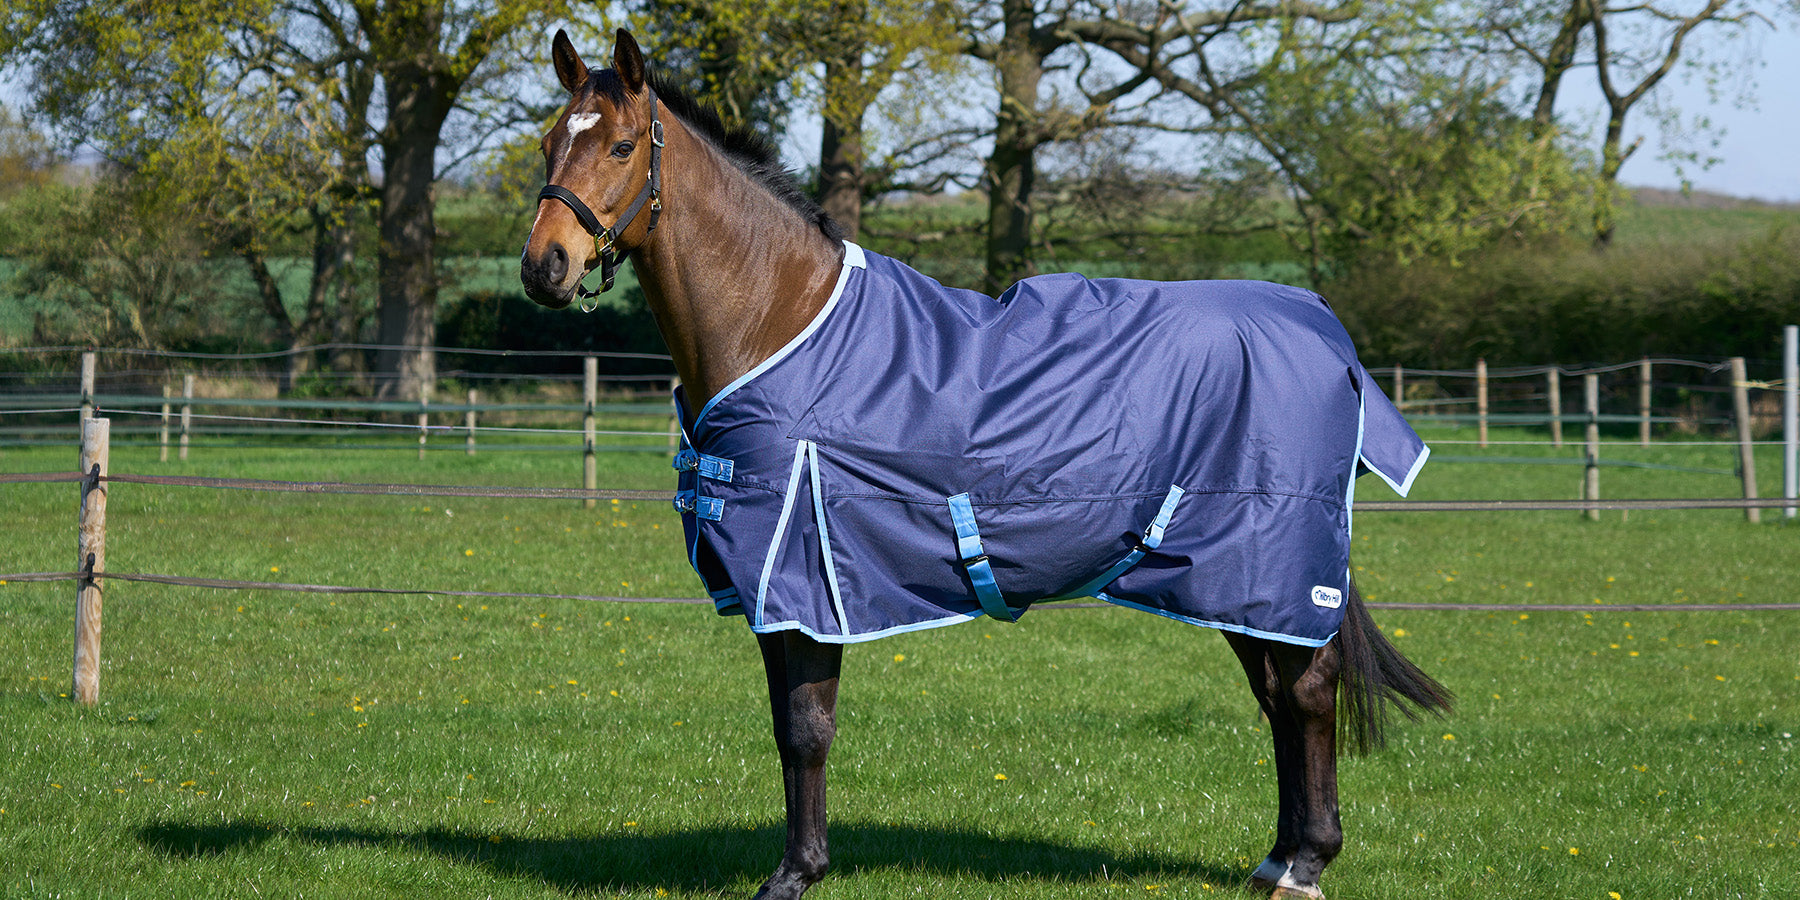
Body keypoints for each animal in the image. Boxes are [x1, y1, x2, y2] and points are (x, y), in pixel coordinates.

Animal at [519, 28, 1451, 900]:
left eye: (621, 146)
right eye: (547, 142)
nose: (543, 266)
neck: (779, 320)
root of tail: (1320, 323)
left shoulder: (803, 576)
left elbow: (806, 729)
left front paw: (794, 874)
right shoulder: (775, 589)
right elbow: (790, 727)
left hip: (1272, 560)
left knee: (1307, 693)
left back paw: (1307, 862)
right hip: (1232, 577)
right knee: (1277, 697)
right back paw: (1276, 858)